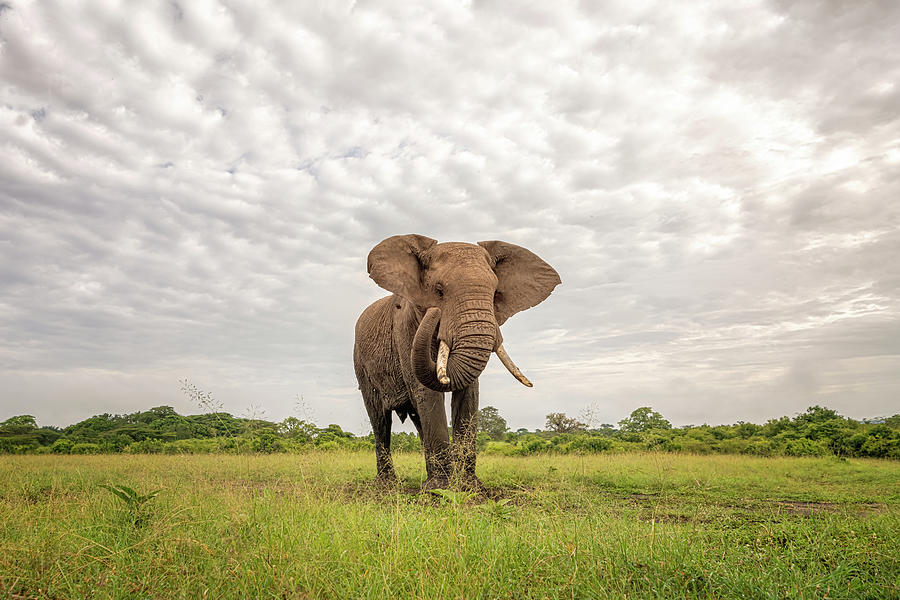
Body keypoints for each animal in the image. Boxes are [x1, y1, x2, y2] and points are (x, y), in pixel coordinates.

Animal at [354, 232, 560, 490]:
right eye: (439, 291)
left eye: (495, 294)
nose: (435, 313)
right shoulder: (405, 327)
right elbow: (426, 391)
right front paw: (440, 490)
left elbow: (468, 394)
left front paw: (469, 487)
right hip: (361, 363)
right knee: (380, 420)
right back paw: (387, 486)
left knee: (417, 419)